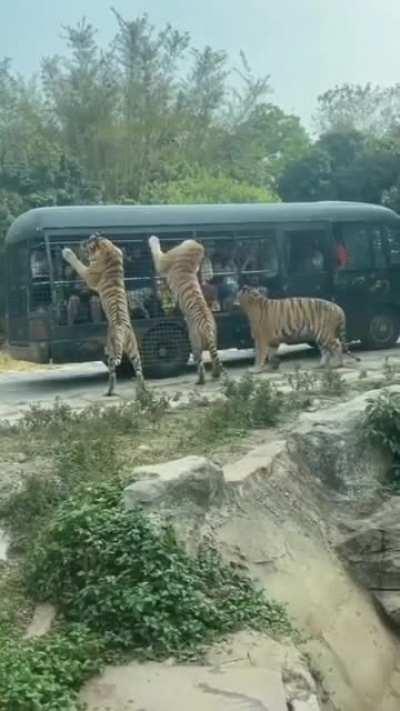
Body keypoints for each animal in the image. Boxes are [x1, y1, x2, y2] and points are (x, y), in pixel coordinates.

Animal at [62, 233, 145, 396]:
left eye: (88, 243)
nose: (81, 241)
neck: (109, 251)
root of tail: (121, 329)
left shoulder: (88, 274)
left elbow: (78, 263)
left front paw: (67, 252)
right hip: (134, 350)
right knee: (139, 371)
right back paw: (142, 391)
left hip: (111, 350)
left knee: (113, 372)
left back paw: (110, 391)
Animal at [148, 235, 223, 385]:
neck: (190, 260)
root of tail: (207, 328)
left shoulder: (163, 261)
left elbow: (156, 250)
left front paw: (153, 239)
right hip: (214, 338)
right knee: (214, 358)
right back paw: (215, 375)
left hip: (194, 341)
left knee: (200, 363)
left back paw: (200, 380)